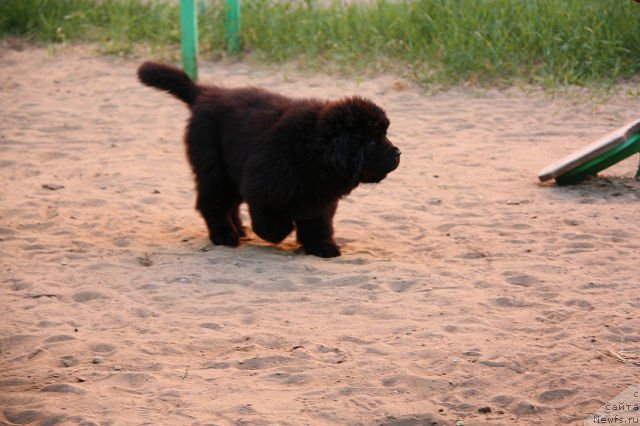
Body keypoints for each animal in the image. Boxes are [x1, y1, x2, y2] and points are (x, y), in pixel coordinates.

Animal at [139, 61, 400, 258]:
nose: (398, 153)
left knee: (229, 204)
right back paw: (225, 235)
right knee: (212, 203)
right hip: (214, 171)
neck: (313, 150)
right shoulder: (262, 188)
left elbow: (318, 224)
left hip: (229, 172)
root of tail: (205, 94)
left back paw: (239, 230)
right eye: (372, 141)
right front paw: (282, 231)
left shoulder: (321, 198)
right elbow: (272, 223)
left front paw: (322, 247)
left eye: (384, 134)